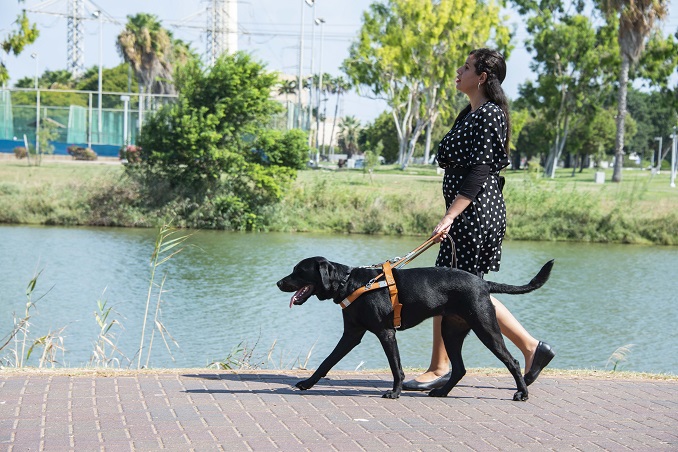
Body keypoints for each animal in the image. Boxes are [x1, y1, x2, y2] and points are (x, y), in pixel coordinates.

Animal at [278, 256, 556, 400]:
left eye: (298, 271)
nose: (279, 283)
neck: (349, 283)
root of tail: (483, 284)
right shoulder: (352, 334)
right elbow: (327, 361)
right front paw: (307, 383)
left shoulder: (386, 333)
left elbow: (396, 368)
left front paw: (395, 392)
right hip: (451, 331)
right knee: (459, 368)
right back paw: (441, 391)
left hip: (486, 328)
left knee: (512, 361)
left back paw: (522, 393)